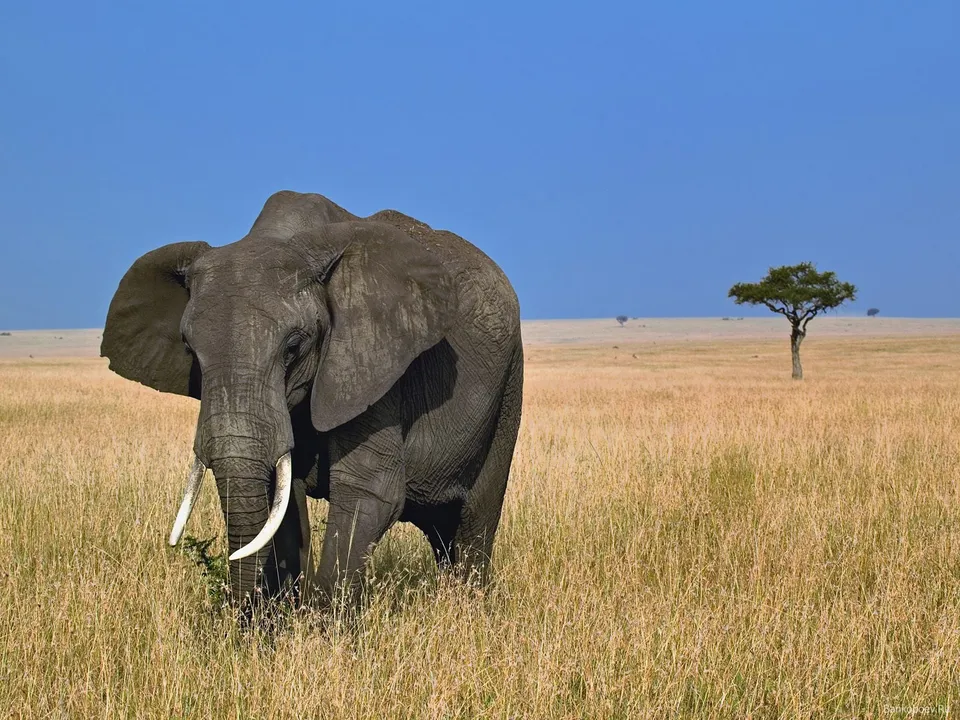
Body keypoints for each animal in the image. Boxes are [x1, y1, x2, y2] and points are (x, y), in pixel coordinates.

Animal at [101, 190, 523, 610]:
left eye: (293, 347)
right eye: (190, 349)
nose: (243, 611)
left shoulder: (371, 362)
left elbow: (370, 489)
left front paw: (321, 622)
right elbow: (283, 500)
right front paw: (283, 616)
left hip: (508, 388)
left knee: (473, 522)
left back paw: (470, 605)